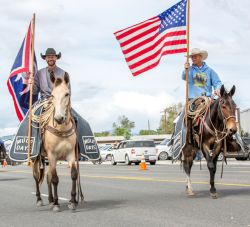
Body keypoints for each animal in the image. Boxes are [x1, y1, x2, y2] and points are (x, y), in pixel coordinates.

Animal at [32, 72, 83, 211]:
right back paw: (39, 199)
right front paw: (56, 204)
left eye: (67, 94)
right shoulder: (52, 155)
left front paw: (72, 201)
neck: (61, 129)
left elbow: (73, 174)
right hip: (36, 158)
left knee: (47, 176)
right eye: (52, 95)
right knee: (37, 176)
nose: (59, 118)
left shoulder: (71, 154)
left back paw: (50, 199)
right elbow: (55, 179)